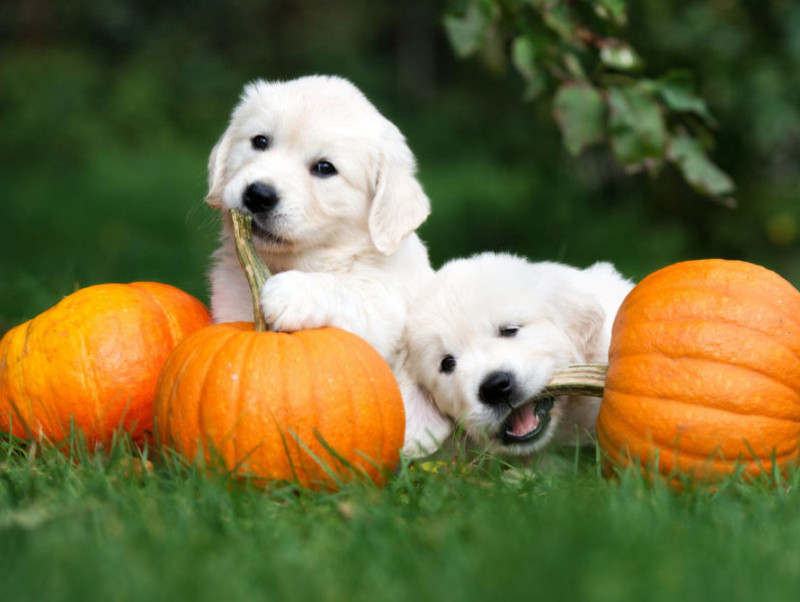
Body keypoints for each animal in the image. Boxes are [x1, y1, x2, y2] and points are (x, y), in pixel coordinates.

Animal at [206, 75, 440, 448]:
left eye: (325, 168)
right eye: (260, 141)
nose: (258, 195)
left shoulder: (385, 311)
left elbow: (343, 290)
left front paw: (291, 293)